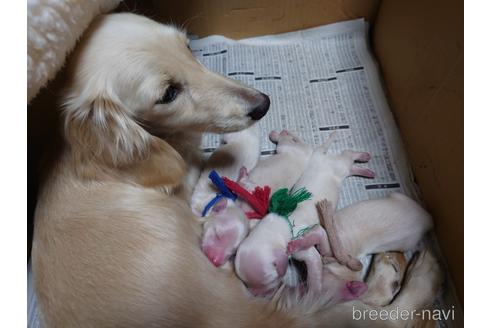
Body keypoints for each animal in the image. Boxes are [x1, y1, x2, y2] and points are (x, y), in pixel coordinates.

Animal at [236, 135, 374, 298]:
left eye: (268, 281)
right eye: (246, 283)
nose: (255, 294)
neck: (275, 229)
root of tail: (321, 156)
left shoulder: (304, 238)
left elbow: (316, 252)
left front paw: (313, 293)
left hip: (338, 165)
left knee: (348, 154)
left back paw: (364, 156)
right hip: (339, 169)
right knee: (350, 166)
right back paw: (366, 171)